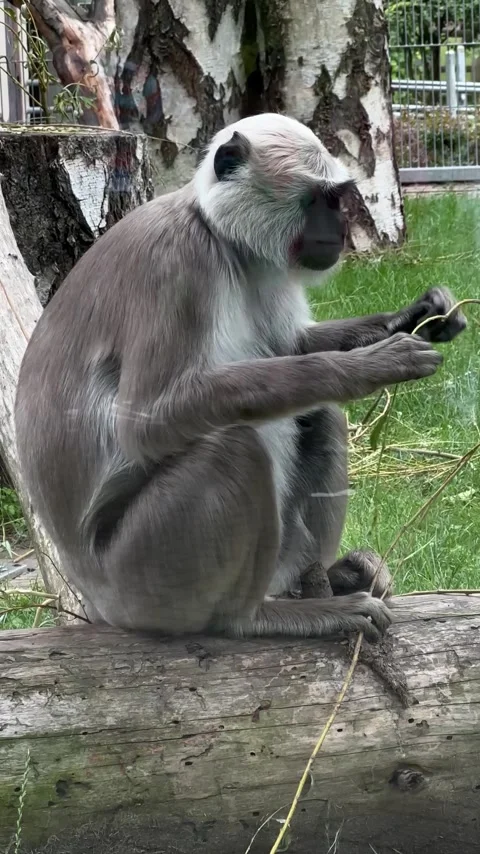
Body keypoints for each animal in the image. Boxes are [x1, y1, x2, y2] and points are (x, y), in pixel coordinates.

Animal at [14, 113, 467, 643]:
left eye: (336, 199)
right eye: (321, 200)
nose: (341, 227)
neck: (216, 233)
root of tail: (96, 601)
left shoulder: (261, 268)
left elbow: (292, 347)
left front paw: (418, 316)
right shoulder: (177, 262)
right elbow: (148, 422)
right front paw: (364, 368)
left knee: (319, 415)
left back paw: (319, 581)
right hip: (139, 577)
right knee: (231, 449)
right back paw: (254, 618)